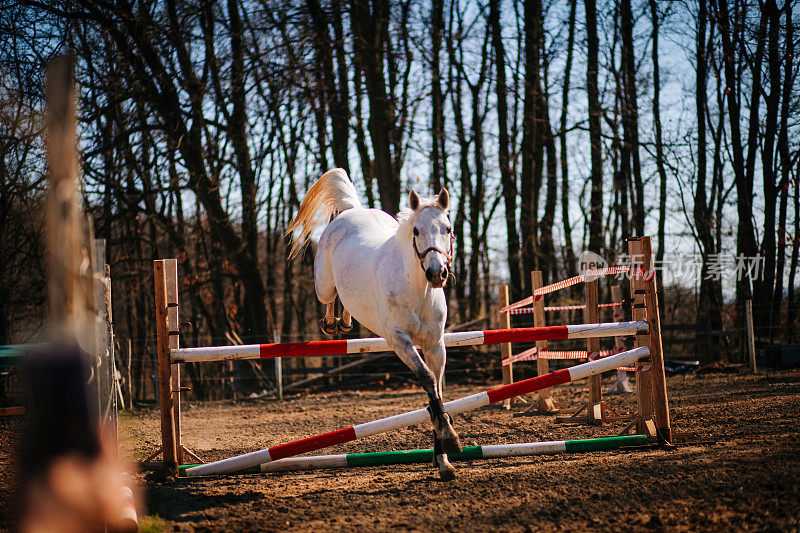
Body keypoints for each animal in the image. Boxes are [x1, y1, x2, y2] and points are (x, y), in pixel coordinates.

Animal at [288, 166, 462, 478]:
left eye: (448, 229)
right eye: (416, 231)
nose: (436, 273)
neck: (417, 290)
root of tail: (351, 211)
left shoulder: (435, 344)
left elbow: (437, 390)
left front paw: (444, 458)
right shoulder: (400, 341)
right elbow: (427, 379)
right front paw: (449, 440)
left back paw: (344, 324)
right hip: (323, 284)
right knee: (331, 296)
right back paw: (332, 325)